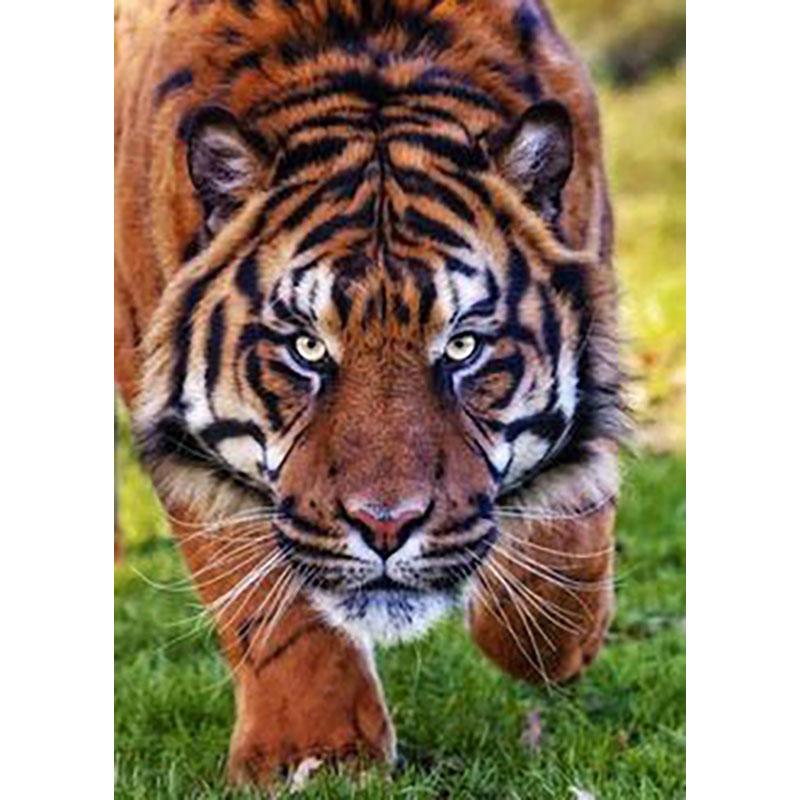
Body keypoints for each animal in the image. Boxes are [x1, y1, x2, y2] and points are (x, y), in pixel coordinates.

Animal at [115, 0, 624, 786]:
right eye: (307, 348)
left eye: (463, 347)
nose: (388, 526)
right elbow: (266, 595)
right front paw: (311, 751)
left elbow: (566, 521)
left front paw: (554, 639)